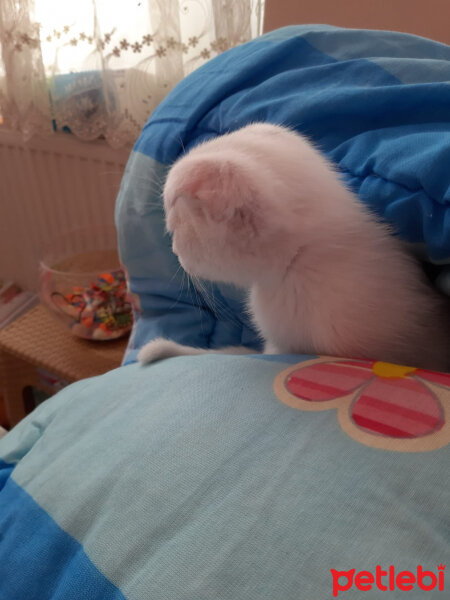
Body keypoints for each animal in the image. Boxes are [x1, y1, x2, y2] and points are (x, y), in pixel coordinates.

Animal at [139, 123, 448, 370]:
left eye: (175, 231)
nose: (175, 251)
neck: (304, 258)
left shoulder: (290, 342)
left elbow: (238, 352)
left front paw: (165, 348)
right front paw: (163, 348)